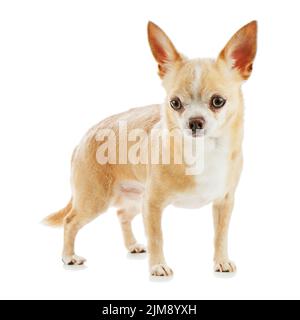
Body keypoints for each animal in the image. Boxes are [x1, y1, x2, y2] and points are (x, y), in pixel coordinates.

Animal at [43, 21, 256, 278]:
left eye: (218, 101)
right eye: (175, 103)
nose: (194, 122)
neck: (203, 151)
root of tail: (82, 139)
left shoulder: (224, 202)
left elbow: (220, 235)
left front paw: (221, 261)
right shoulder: (152, 204)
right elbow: (157, 237)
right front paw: (157, 266)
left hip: (134, 198)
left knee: (122, 214)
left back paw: (132, 245)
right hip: (95, 200)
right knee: (70, 221)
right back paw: (69, 256)